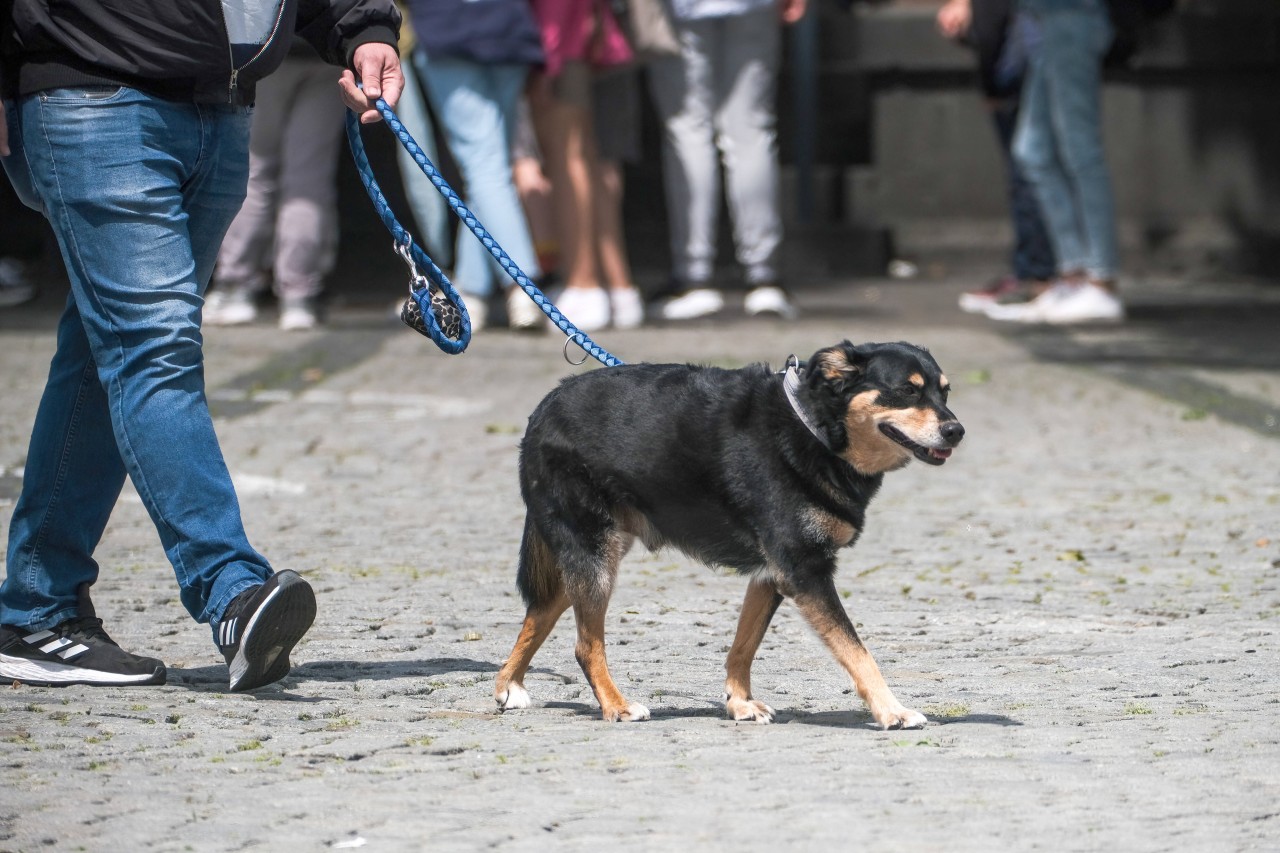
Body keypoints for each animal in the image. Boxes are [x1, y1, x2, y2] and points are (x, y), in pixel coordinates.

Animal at [494, 338, 962, 722]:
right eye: (908, 390)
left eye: (945, 391)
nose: (956, 430)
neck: (813, 430)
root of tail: (543, 410)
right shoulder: (805, 571)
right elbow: (858, 652)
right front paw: (892, 711)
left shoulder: (771, 574)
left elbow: (743, 646)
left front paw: (739, 703)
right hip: (594, 555)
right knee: (585, 645)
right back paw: (616, 705)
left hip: (588, 556)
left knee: (540, 614)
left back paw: (508, 686)